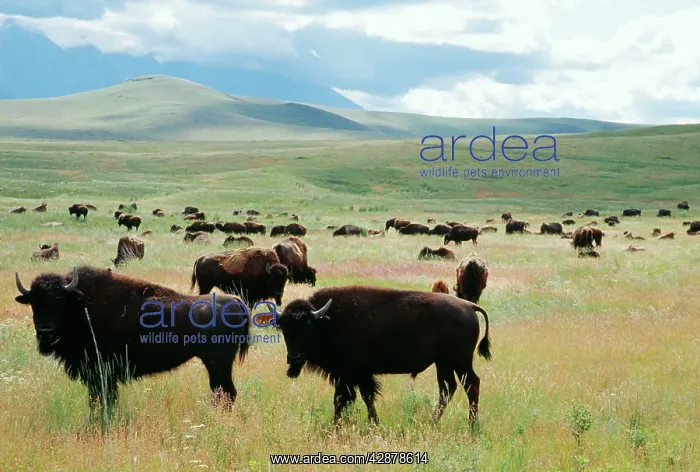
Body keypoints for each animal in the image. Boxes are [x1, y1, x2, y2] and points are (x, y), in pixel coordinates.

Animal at [14, 266, 250, 416]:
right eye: (34, 302)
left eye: (60, 301)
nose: (45, 332)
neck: (80, 307)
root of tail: (235, 301)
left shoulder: (101, 373)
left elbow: (101, 400)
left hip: (218, 364)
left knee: (226, 392)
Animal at [276, 286, 491, 424]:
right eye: (284, 328)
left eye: (308, 326)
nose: (294, 358)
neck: (328, 322)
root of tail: (469, 306)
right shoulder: (352, 376)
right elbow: (355, 398)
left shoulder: (352, 375)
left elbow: (351, 398)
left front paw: (353, 424)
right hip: (443, 363)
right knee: (447, 388)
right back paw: (432, 422)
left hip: (460, 362)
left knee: (471, 385)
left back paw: (471, 426)